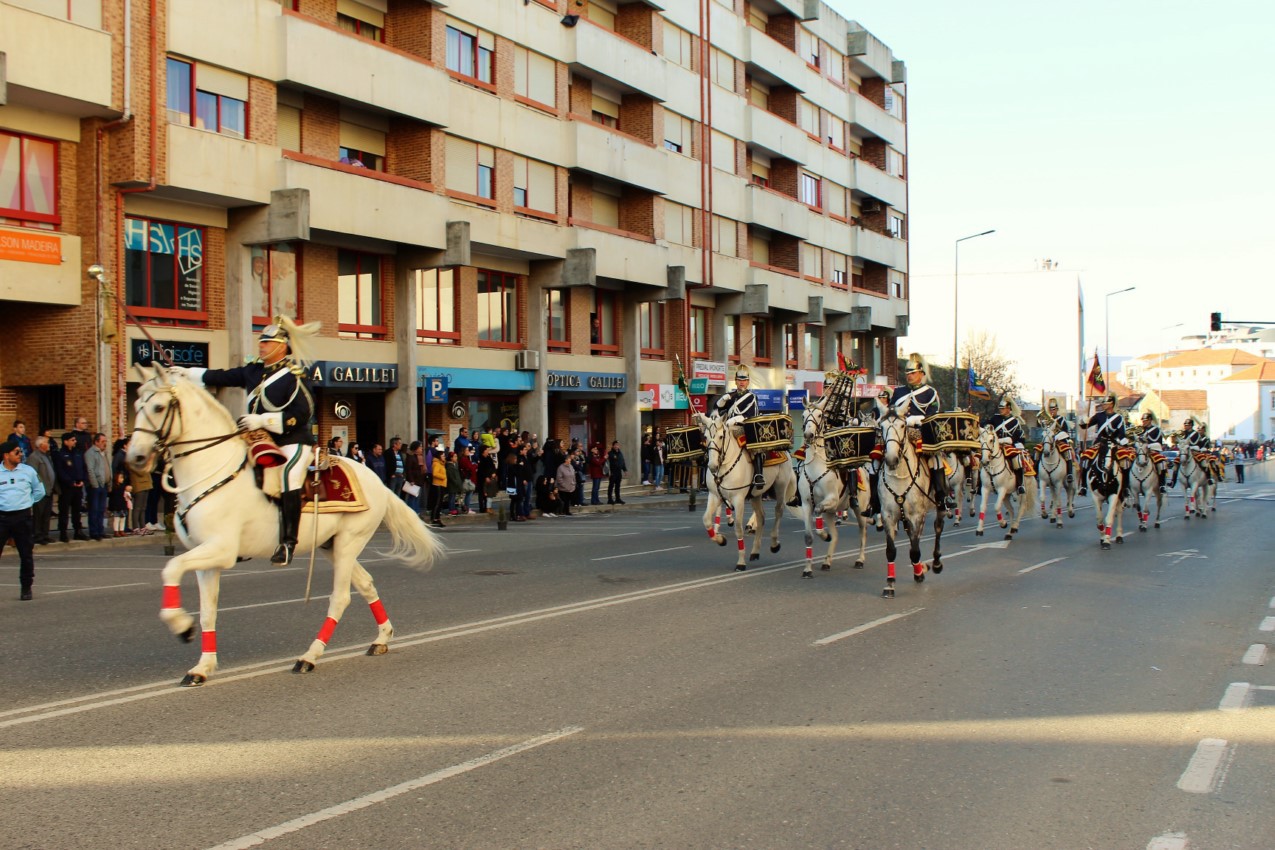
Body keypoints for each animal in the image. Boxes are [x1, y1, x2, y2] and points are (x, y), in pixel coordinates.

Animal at [125, 361, 443, 688]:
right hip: (332, 546)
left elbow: (171, 567)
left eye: (159, 406)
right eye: (136, 405)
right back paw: (381, 638)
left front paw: (180, 625)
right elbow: (207, 611)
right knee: (365, 584)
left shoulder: (221, 550)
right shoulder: (206, 558)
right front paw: (202, 666)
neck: (213, 469)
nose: (136, 457)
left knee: (340, 597)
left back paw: (309, 656)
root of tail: (375, 480)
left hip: (348, 543)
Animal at [698, 412, 795, 568]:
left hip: (781, 486)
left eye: (721, 436)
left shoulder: (738, 499)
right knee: (761, 517)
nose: (712, 466)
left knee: (778, 511)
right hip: (756, 495)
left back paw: (774, 544)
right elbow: (706, 520)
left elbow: (738, 528)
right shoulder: (714, 496)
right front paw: (721, 540)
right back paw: (755, 552)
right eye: (705, 437)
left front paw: (740, 562)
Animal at [790, 405, 872, 578]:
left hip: (859, 509)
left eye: (820, 415)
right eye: (803, 415)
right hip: (831, 512)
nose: (808, 435)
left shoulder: (831, 499)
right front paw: (807, 569)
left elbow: (818, 510)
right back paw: (827, 561)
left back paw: (860, 560)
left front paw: (823, 534)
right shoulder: (806, 505)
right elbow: (808, 537)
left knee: (863, 531)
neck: (816, 467)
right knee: (836, 535)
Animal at [877, 410, 948, 598]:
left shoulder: (917, 515)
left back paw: (936, 563)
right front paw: (890, 584)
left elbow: (915, 550)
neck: (900, 478)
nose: (891, 458)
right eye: (882, 426)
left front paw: (920, 572)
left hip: (938, 506)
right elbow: (891, 550)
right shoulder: (888, 516)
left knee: (938, 528)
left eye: (902, 426)